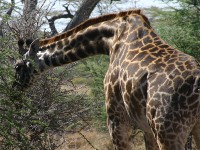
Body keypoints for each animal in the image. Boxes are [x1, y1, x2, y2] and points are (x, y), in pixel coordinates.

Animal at [12, 9, 200, 150]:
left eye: (17, 66)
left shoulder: (115, 118)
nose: (15, 90)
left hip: (167, 131)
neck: (111, 39)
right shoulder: (146, 128)